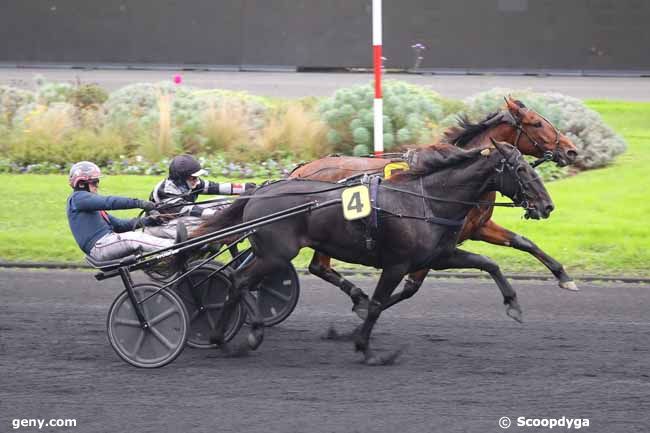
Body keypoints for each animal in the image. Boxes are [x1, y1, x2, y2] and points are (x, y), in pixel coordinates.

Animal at [288, 98, 576, 320]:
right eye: (537, 123)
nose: (571, 151)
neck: (453, 176)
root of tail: (300, 170)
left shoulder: (478, 227)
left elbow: (523, 242)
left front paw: (563, 276)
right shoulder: (438, 243)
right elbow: (412, 286)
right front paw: (370, 308)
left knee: (319, 267)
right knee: (319, 267)